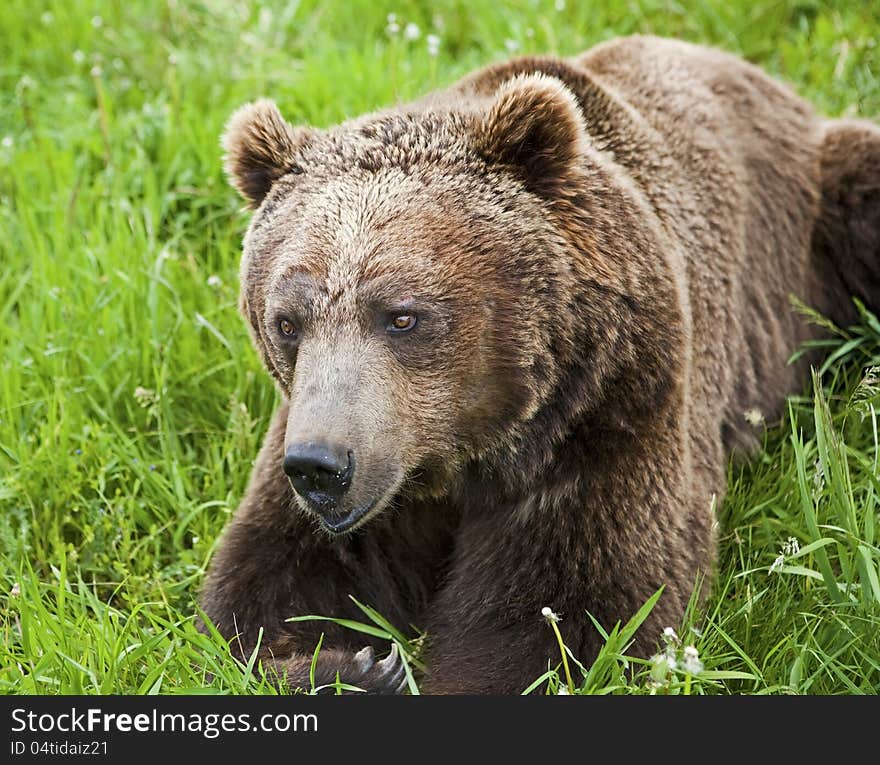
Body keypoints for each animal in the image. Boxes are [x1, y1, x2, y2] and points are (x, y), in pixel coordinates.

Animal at [203, 35, 880, 692]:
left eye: (402, 316)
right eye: (287, 321)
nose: (321, 466)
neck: (464, 456)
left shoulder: (609, 410)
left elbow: (563, 615)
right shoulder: (334, 447)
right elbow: (264, 590)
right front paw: (353, 665)